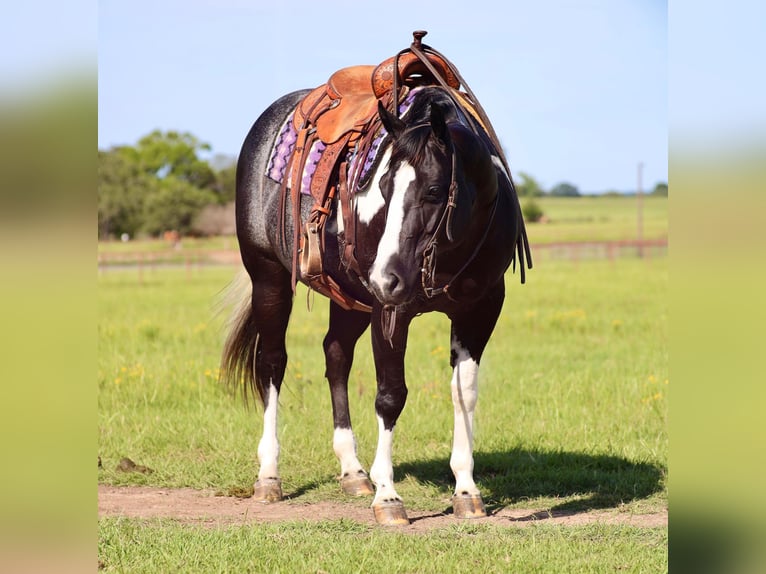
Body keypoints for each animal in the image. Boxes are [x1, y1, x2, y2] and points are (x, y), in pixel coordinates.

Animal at [222, 80, 532, 528]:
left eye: (434, 191)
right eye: (382, 187)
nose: (386, 277)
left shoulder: (481, 310)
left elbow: (464, 393)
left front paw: (466, 490)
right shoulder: (390, 311)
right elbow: (390, 395)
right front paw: (388, 496)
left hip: (350, 299)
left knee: (335, 356)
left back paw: (352, 471)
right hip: (270, 279)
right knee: (272, 364)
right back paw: (269, 476)